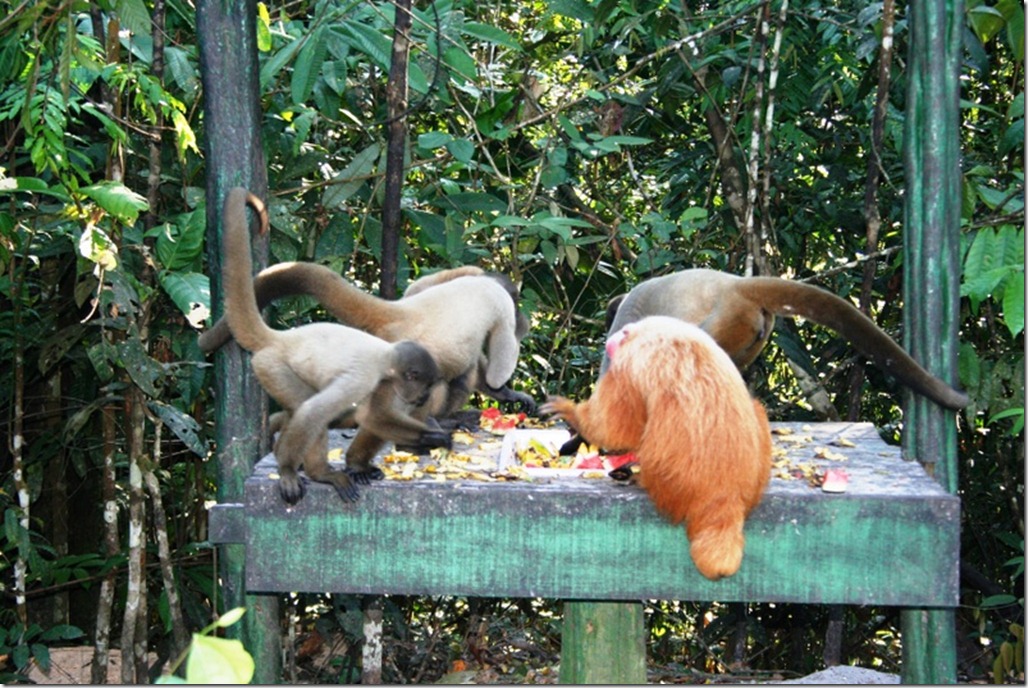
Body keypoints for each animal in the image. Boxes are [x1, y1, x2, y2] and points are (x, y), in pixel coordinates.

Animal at [221, 185, 450, 501]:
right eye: (425, 385)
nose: (424, 397)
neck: (388, 356)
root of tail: (280, 338)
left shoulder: (386, 383)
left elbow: (375, 415)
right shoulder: (365, 375)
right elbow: (318, 412)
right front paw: (434, 437)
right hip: (271, 366)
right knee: (307, 408)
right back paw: (311, 472)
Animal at [538, 316, 773, 580]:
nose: (610, 343)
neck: (646, 331)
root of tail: (726, 493)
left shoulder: (626, 364)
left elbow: (613, 429)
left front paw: (571, 414)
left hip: (672, 477)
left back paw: (633, 474)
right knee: (757, 409)